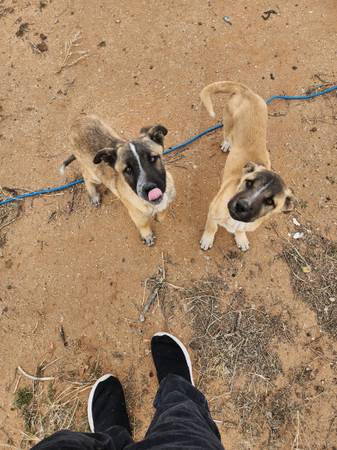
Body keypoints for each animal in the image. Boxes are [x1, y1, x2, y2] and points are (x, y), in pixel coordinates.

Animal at [60, 114, 176, 244]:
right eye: (128, 169)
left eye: (152, 158)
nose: (149, 189)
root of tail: (76, 122)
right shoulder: (137, 216)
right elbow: (143, 225)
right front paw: (147, 236)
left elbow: (163, 212)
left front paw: (159, 217)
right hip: (95, 175)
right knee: (85, 175)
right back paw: (93, 195)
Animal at [198, 79, 292, 251]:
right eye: (249, 182)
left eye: (270, 202)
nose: (241, 206)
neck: (234, 221)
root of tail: (247, 91)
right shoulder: (212, 211)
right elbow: (211, 227)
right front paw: (207, 239)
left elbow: (240, 232)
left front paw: (241, 239)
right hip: (228, 120)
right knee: (227, 134)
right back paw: (226, 144)